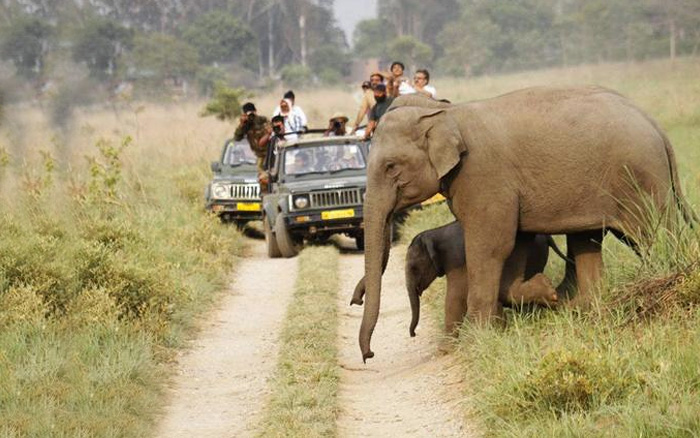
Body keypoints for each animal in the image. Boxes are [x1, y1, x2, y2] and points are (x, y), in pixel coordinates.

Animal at [404, 221, 556, 338]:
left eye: (414, 268)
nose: (413, 334)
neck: (434, 233)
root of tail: (548, 237)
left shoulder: (457, 259)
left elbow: (456, 298)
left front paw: (445, 350)